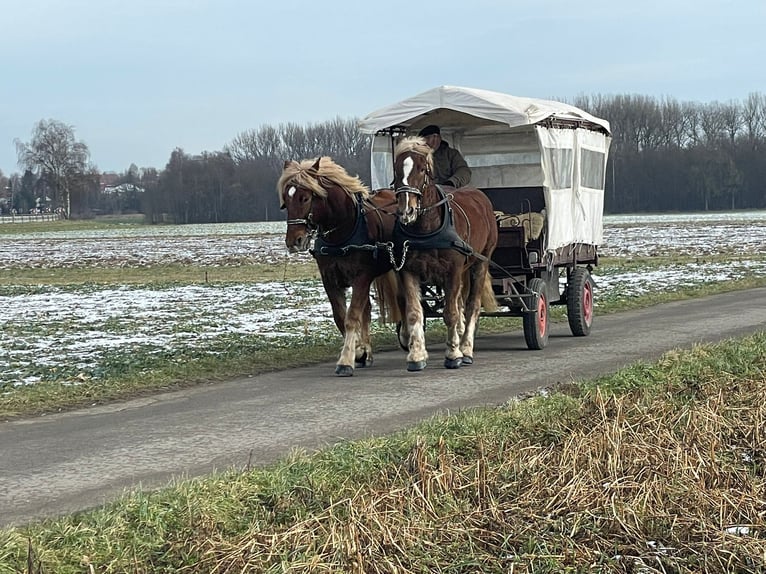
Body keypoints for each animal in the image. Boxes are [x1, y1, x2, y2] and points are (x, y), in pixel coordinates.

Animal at [278, 156, 404, 376]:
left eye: (304, 198)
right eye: (286, 200)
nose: (294, 241)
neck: (342, 232)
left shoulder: (361, 277)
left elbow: (352, 316)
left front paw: (346, 360)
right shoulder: (329, 279)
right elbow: (340, 317)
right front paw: (359, 351)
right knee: (367, 309)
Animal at [391, 136, 498, 371]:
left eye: (422, 169)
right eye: (396, 169)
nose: (407, 211)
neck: (426, 230)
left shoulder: (453, 271)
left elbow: (450, 313)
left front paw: (453, 354)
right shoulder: (409, 271)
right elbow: (414, 313)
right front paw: (416, 355)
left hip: (480, 263)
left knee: (471, 306)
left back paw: (466, 348)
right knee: (460, 304)